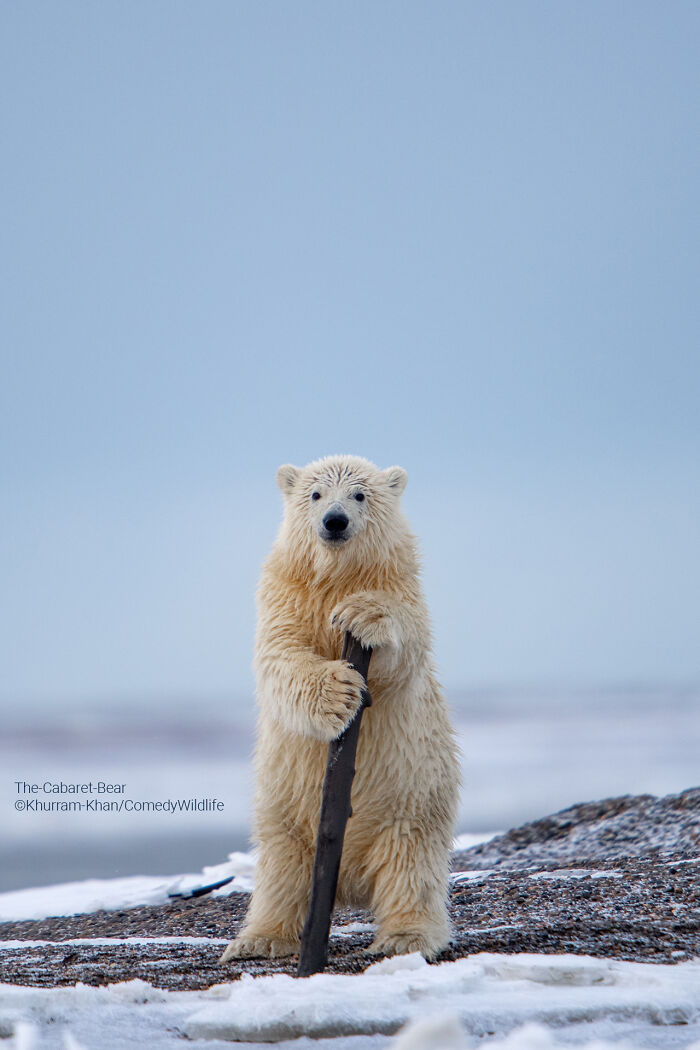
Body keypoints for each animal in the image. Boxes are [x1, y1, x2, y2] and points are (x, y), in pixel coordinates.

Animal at [220, 454, 460, 963]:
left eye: (359, 494)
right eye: (315, 494)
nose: (334, 521)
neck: (336, 576)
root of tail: (350, 884)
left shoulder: (402, 588)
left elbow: (403, 648)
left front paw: (361, 614)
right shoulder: (285, 596)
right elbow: (281, 656)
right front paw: (338, 694)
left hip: (414, 797)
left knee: (411, 865)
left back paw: (405, 936)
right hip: (284, 808)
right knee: (281, 869)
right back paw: (259, 939)